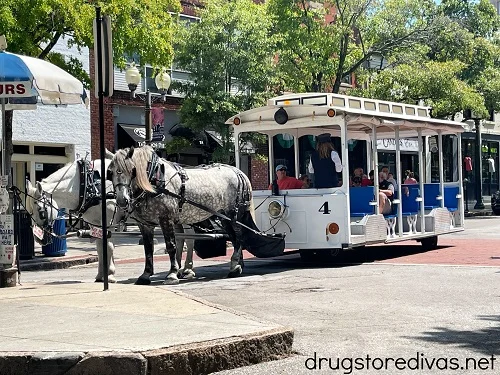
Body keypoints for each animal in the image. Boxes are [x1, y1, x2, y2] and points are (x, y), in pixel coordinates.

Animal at [24, 151, 124, 284]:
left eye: (41, 212)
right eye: (28, 213)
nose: (38, 239)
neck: (89, 184)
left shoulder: (109, 222)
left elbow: (108, 247)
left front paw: (110, 275)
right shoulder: (95, 223)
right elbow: (100, 247)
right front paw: (100, 276)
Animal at [106, 145, 254, 284]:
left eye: (132, 170)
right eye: (110, 172)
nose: (122, 200)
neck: (154, 181)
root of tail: (237, 171)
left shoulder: (166, 219)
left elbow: (171, 246)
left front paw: (172, 274)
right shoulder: (145, 224)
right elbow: (148, 249)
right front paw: (146, 275)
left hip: (233, 215)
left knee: (239, 238)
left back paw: (234, 266)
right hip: (224, 217)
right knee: (234, 238)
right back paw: (237, 265)